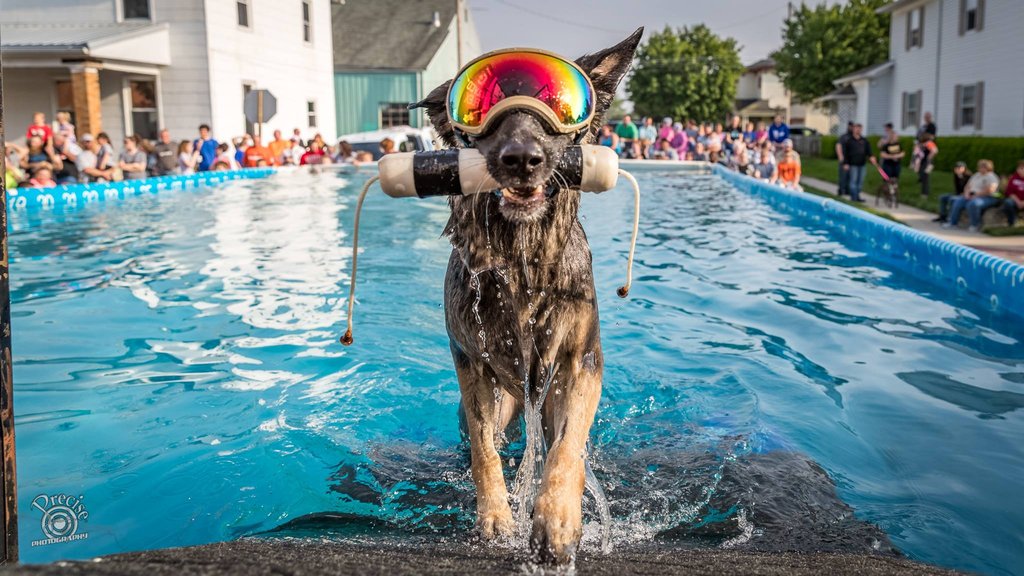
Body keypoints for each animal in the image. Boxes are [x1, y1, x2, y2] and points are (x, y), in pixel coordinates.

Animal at [409, 29, 638, 561]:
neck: (521, 259)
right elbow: (483, 449)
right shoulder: (471, 366)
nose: (522, 159)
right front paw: (496, 514)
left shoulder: (580, 362)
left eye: (558, 104)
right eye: (480, 106)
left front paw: (556, 517)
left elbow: (568, 447)